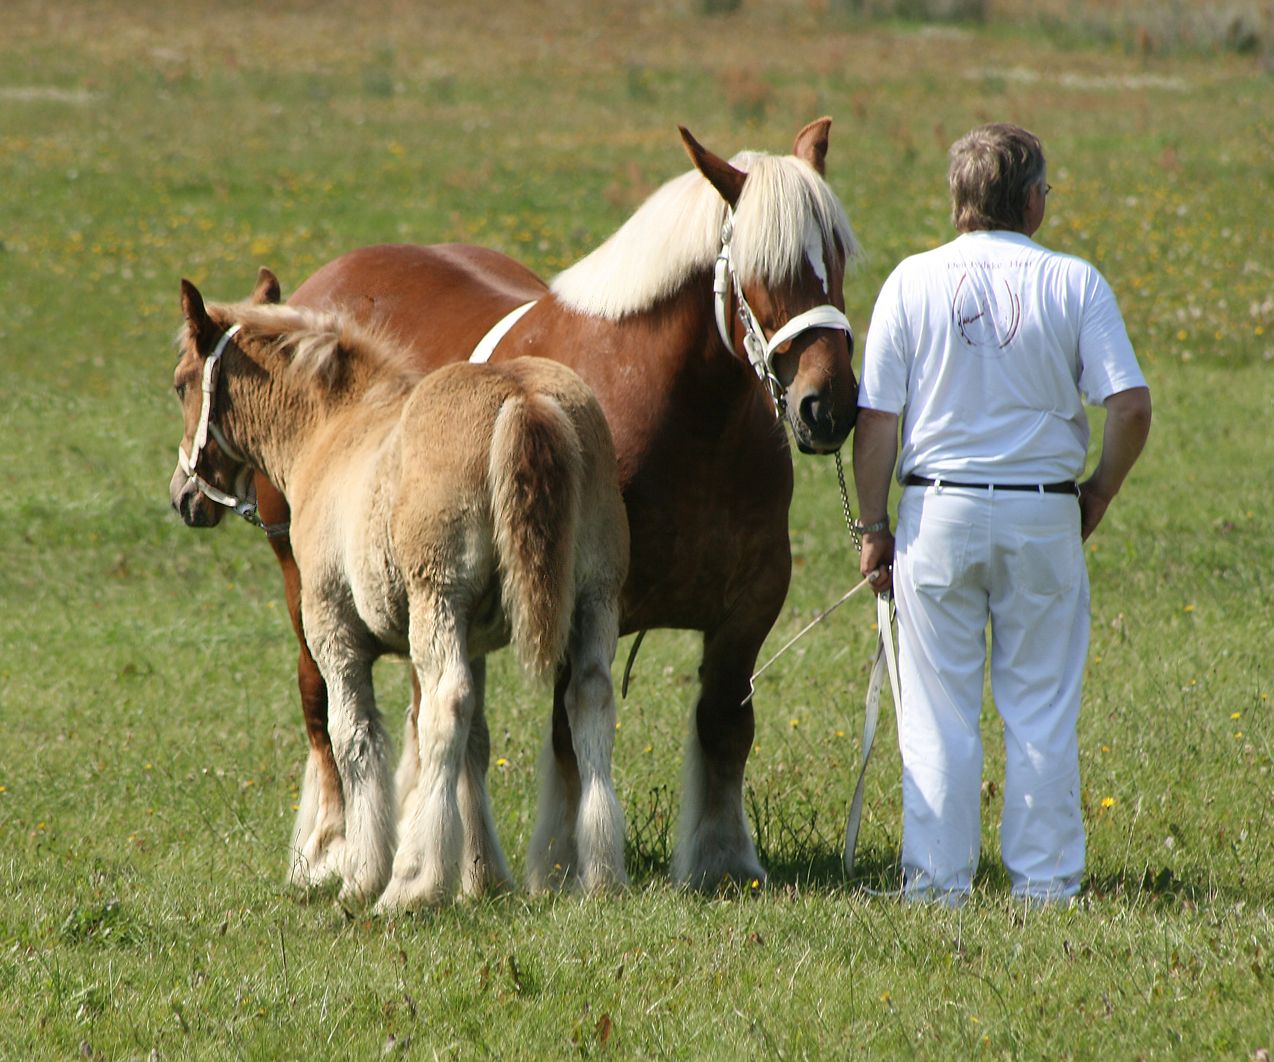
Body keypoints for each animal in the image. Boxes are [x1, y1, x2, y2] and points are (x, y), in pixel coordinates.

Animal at [169, 277, 626, 906]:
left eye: (181, 383)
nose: (183, 498)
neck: (334, 428)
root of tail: (523, 397)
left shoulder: (334, 632)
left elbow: (356, 738)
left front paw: (361, 873)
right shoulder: (477, 638)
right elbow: (476, 745)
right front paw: (482, 876)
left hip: (439, 598)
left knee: (444, 707)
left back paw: (410, 884)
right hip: (595, 597)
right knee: (590, 700)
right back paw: (601, 874)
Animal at [244, 119, 861, 891]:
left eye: (837, 258)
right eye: (761, 270)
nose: (827, 406)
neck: (682, 416)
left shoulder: (750, 605)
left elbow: (723, 727)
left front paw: (724, 864)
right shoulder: (580, 602)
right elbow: (568, 735)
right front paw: (563, 863)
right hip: (304, 580)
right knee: (321, 702)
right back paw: (331, 847)